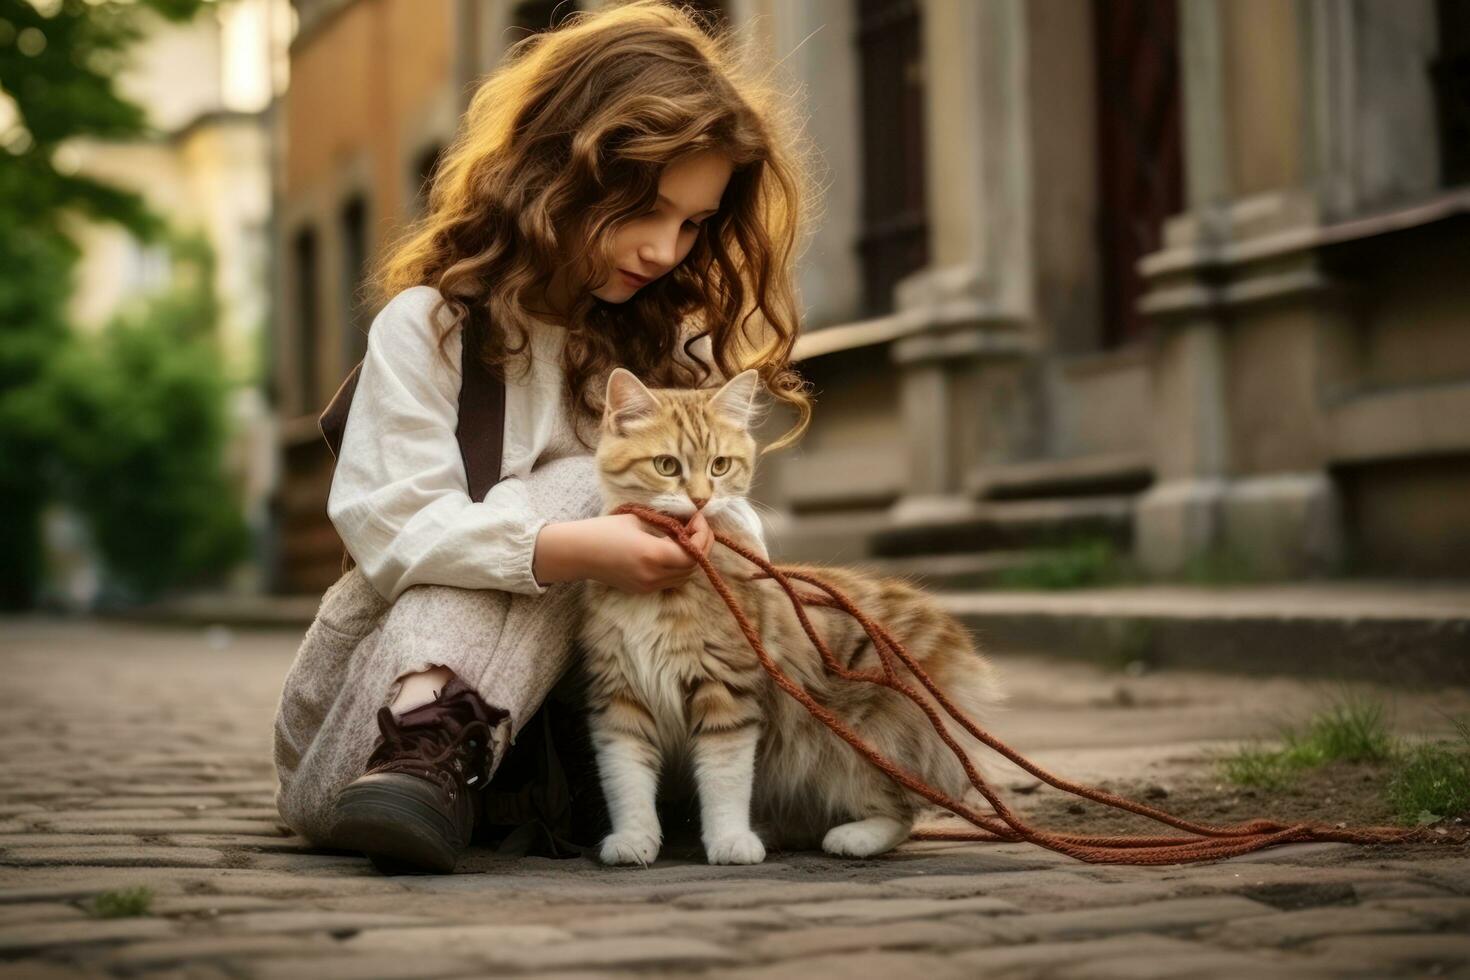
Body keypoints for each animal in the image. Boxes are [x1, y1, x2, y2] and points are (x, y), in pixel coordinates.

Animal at [579, 367, 1005, 863]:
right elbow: (626, 780)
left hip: (858, 743)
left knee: (901, 812)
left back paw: (851, 838)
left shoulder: (726, 691)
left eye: (719, 466)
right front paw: (634, 838)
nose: (702, 500)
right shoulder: (619, 693)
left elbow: (724, 779)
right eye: (666, 466)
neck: (661, 594)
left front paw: (730, 841)